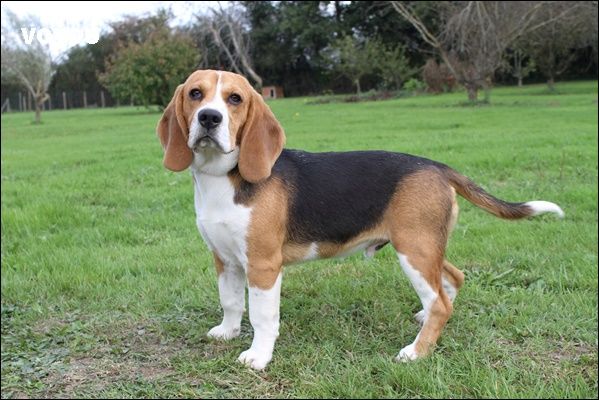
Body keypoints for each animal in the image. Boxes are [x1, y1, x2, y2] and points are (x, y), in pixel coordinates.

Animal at [157, 70, 564, 370]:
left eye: (235, 99)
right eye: (195, 93)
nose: (209, 118)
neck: (222, 178)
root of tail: (437, 167)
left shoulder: (263, 265)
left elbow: (262, 316)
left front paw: (258, 356)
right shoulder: (224, 259)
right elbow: (230, 302)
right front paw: (226, 332)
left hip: (414, 249)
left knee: (441, 302)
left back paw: (416, 351)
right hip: (426, 246)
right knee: (452, 279)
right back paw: (424, 321)